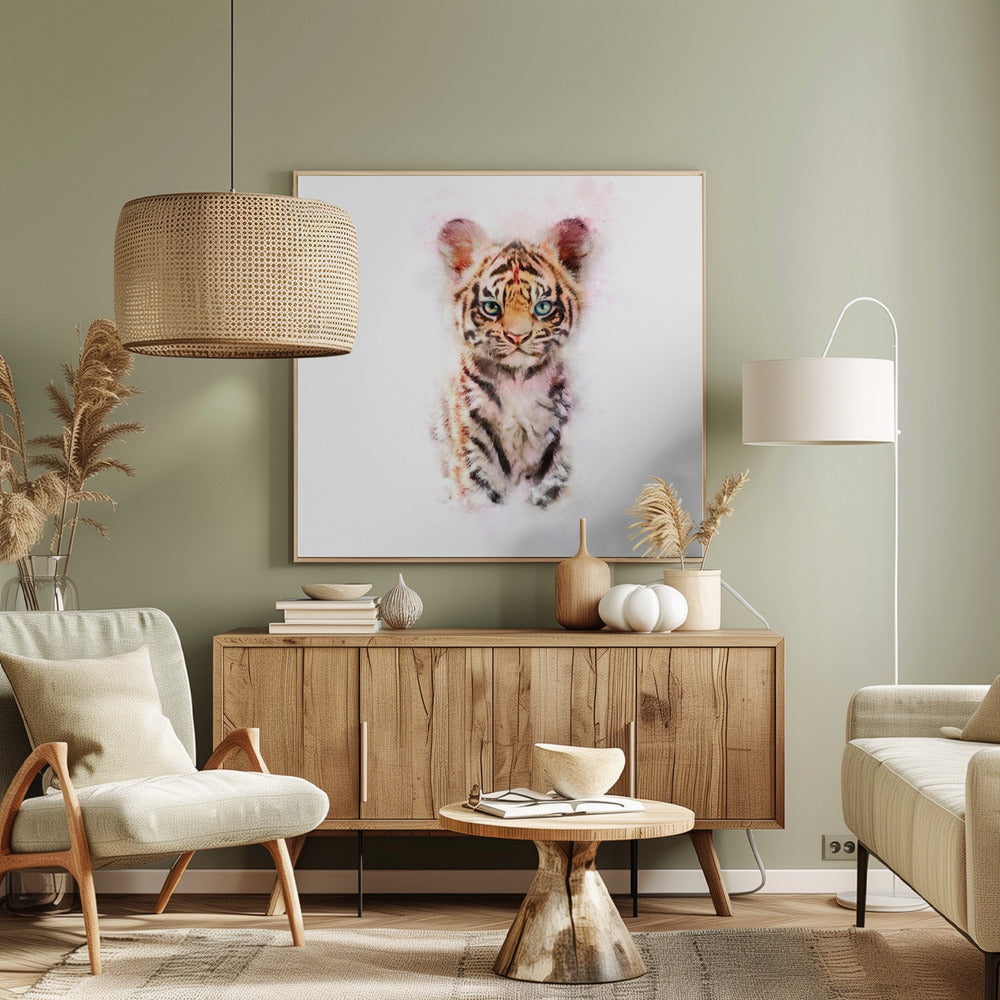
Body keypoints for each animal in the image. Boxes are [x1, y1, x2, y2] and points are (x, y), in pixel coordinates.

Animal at [434, 216, 592, 510]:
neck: (518, 383)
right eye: (491, 307)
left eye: (542, 307)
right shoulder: (474, 455)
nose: (517, 336)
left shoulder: (558, 453)